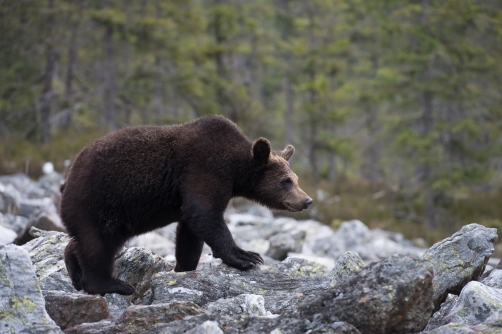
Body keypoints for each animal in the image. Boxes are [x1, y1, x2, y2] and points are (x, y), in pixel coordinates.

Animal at [60, 115, 312, 294]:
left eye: (296, 179)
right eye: (286, 181)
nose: (307, 200)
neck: (235, 168)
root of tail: (67, 179)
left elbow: (190, 231)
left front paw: (184, 267)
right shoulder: (205, 168)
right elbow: (204, 212)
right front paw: (247, 256)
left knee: (91, 241)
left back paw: (74, 270)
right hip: (96, 202)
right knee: (97, 244)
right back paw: (113, 285)